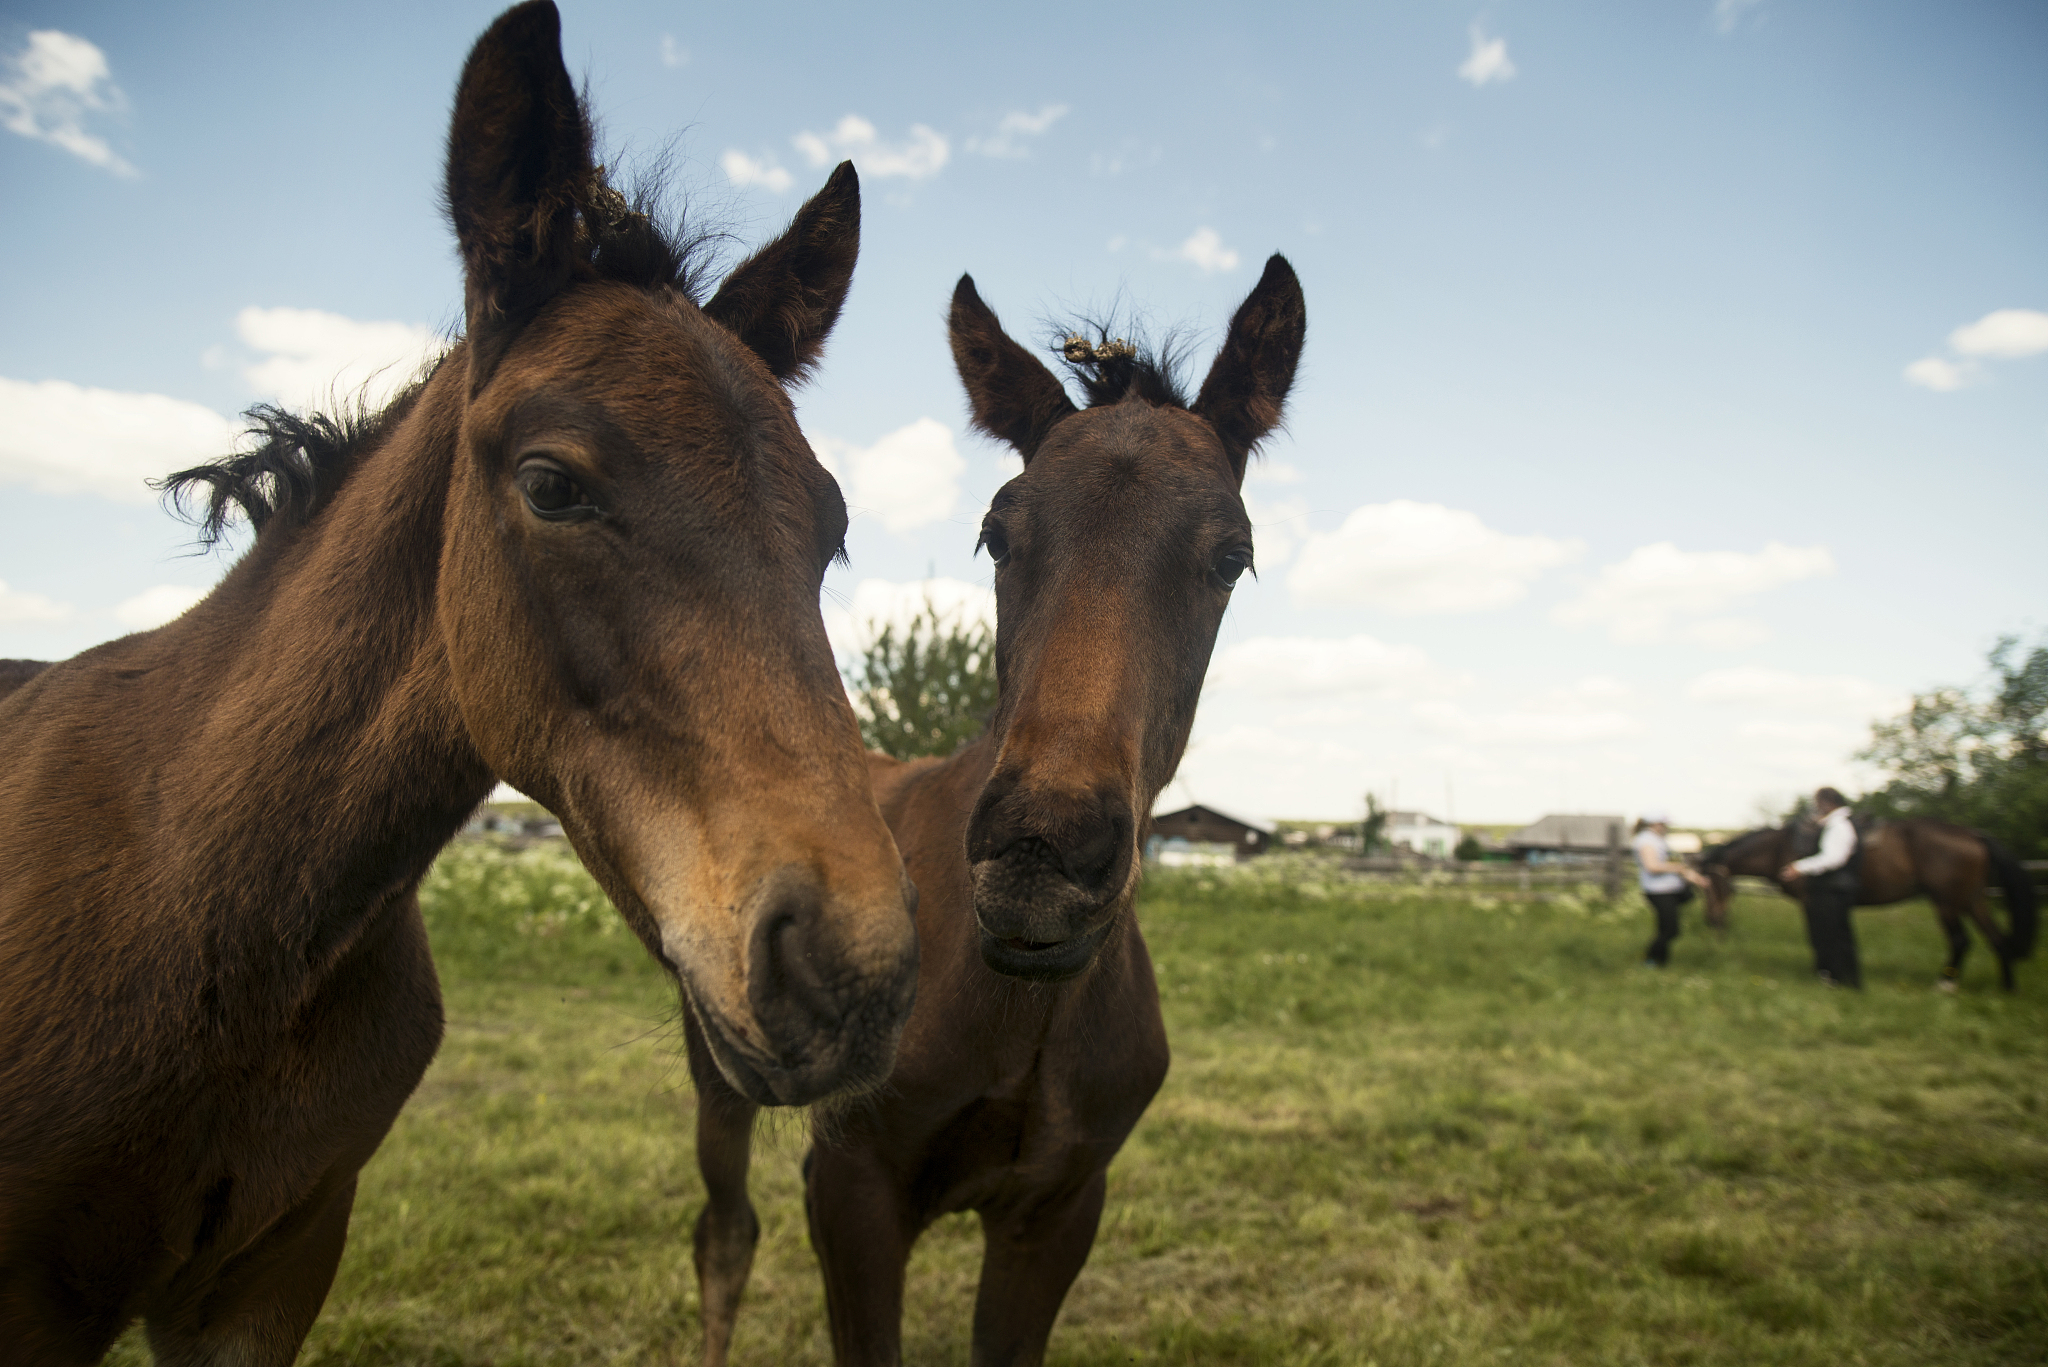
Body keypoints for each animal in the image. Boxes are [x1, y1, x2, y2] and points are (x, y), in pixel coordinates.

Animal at [684, 256, 1306, 1367]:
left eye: (1229, 555)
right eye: (995, 533)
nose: (1039, 858)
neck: (1021, 1008)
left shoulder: (1056, 1208)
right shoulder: (849, 1188)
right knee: (722, 1235)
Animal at [1698, 818, 2037, 989]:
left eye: (1710, 887)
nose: (1712, 921)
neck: (1783, 848)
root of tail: (1975, 834)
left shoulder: (1812, 902)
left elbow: (1819, 938)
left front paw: (1823, 973)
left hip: (1948, 902)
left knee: (1960, 940)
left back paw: (1945, 983)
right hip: (1973, 900)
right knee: (1997, 940)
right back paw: (2006, 988)